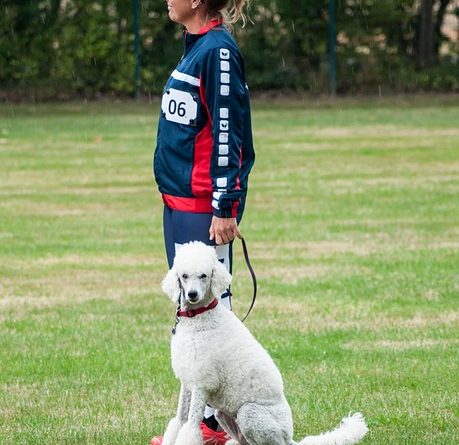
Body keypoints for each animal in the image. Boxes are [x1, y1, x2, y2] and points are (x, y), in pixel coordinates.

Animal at [160, 241, 368, 445]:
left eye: (204, 275)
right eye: (184, 276)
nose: (192, 294)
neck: (198, 317)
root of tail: (290, 438)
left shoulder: (202, 383)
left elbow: (190, 428)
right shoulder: (188, 382)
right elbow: (179, 421)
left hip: (250, 413)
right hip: (224, 415)